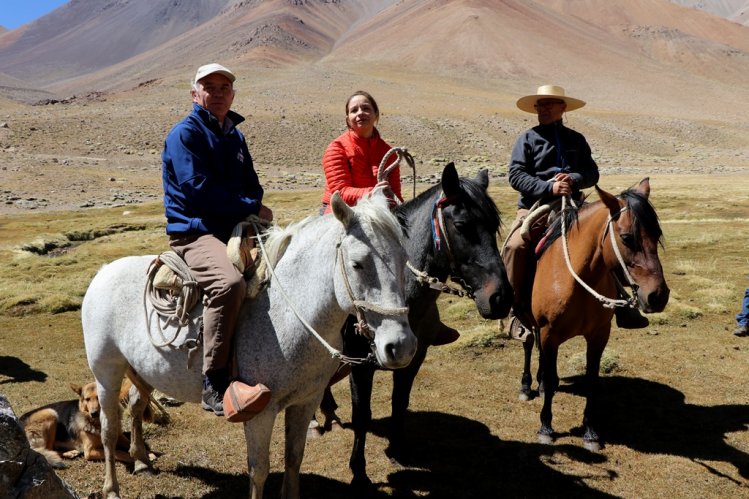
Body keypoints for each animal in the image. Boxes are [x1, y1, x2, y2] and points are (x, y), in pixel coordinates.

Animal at [19, 382, 147, 468]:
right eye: (87, 399)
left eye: (99, 398)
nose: (94, 413)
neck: (98, 424)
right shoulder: (89, 452)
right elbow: (118, 452)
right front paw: (136, 459)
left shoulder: (120, 437)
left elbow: (132, 444)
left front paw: (144, 454)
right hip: (50, 413)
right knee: (48, 450)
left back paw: (71, 453)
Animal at [86, 192, 420, 499]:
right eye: (358, 264)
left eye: (403, 260)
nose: (400, 346)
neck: (290, 314)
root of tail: (103, 272)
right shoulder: (261, 412)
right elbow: (259, 470)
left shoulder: (306, 401)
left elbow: (294, 459)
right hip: (106, 372)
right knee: (108, 429)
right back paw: (111, 488)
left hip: (141, 370)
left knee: (135, 404)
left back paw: (142, 462)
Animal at [312, 163, 512, 488]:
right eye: (461, 225)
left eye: (494, 226)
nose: (501, 298)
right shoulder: (360, 365)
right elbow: (363, 414)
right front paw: (359, 472)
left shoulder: (414, 359)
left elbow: (399, 402)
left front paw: (397, 449)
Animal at [516, 178, 668, 452]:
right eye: (627, 237)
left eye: (657, 234)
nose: (658, 296)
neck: (578, 277)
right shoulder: (549, 331)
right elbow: (552, 379)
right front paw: (546, 428)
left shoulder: (598, 335)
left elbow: (591, 382)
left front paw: (590, 432)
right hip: (528, 319)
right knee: (528, 343)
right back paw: (527, 385)